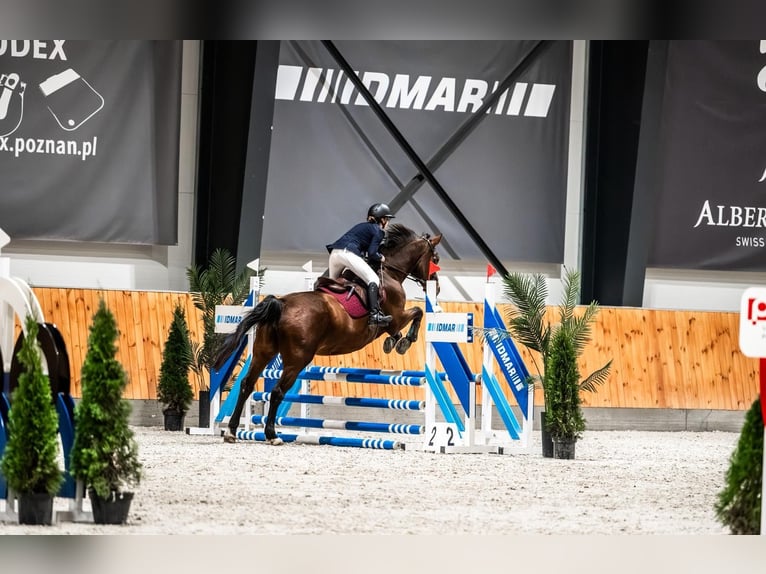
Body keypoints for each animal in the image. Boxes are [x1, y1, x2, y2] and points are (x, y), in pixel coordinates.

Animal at [212, 223, 442, 444]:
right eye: (435, 259)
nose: (437, 287)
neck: (390, 272)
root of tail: (281, 303)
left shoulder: (393, 321)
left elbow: (405, 324)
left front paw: (394, 342)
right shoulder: (395, 317)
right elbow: (417, 312)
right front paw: (405, 341)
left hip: (264, 351)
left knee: (247, 384)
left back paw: (232, 431)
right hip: (297, 359)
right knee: (277, 392)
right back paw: (272, 435)